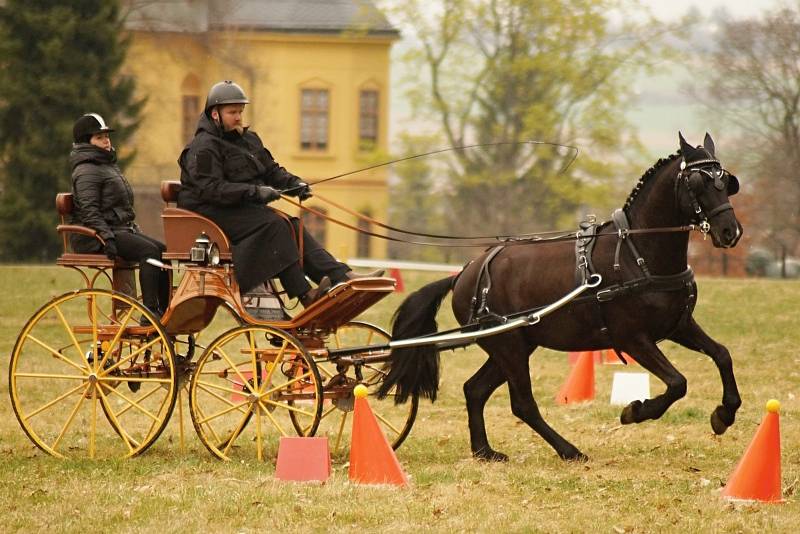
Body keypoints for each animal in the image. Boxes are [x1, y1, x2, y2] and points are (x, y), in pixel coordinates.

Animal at [380, 132, 744, 462]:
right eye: (698, 181)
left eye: (726, 182)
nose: (731, 231)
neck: (637, 251)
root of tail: (466, 272)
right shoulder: (633, 339)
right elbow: (677, 382)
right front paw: (636, 410)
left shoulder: (678, 326)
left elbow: (722, 355)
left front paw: (724, 414)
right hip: (509, 346)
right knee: (522, 403)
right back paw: (568, 450)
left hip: (515, 344)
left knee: (475, 390)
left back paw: (485, 451)